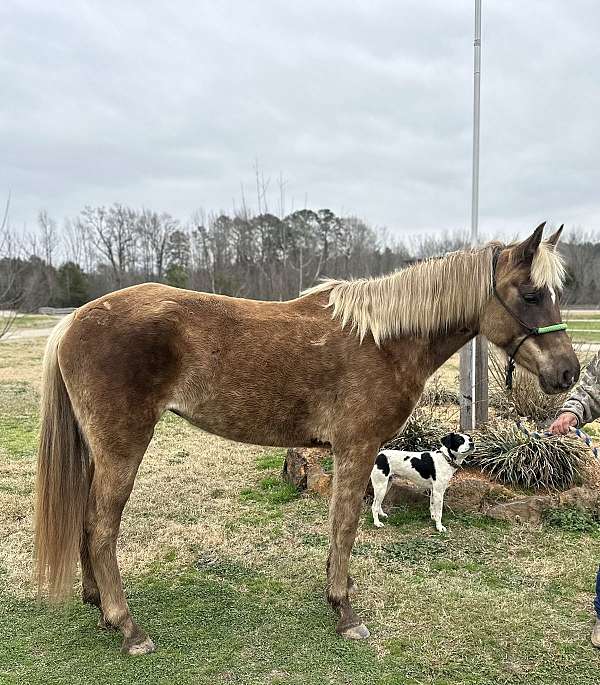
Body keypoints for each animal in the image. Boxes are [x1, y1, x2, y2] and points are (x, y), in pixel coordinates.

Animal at [34, 223, 580, 652]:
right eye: (531, 294)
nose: (568, 373)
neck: (382, 340)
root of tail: (75, 319)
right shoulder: (356, 450)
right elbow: (346, 524)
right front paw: (344, 610)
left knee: (86, 520)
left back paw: (97, 604)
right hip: (122, 448)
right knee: (102, 527)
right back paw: (127, 627)